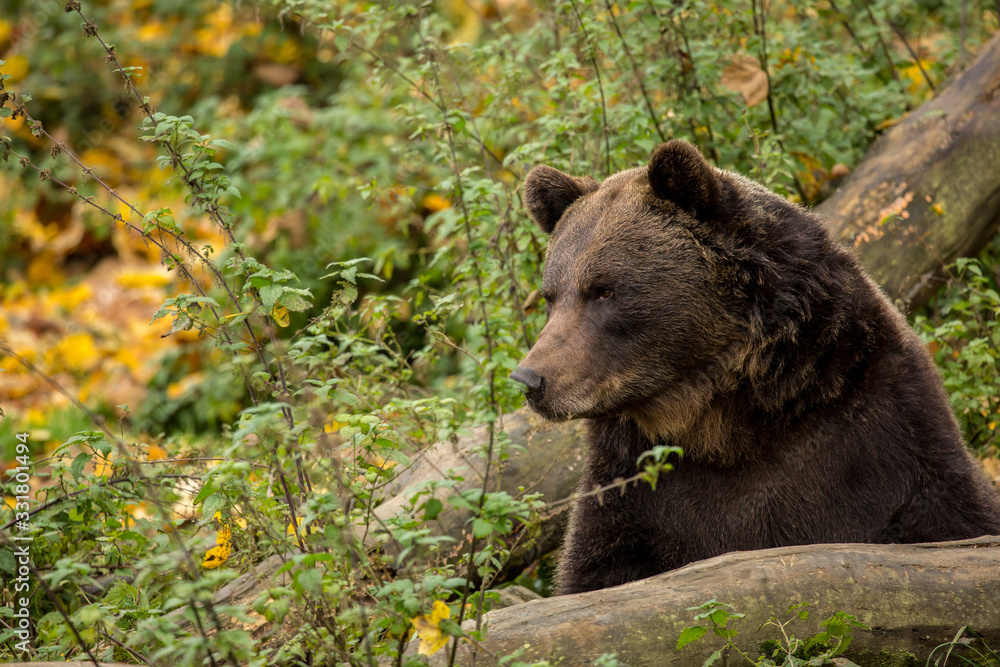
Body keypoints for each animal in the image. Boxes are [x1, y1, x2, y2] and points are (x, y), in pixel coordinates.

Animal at [512, 140, 1000, 596]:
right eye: (552, 294)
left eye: (604, 290)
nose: (530, 379)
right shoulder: (632, 487)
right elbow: (597, 571)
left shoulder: (881, 440)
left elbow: (950, 520)